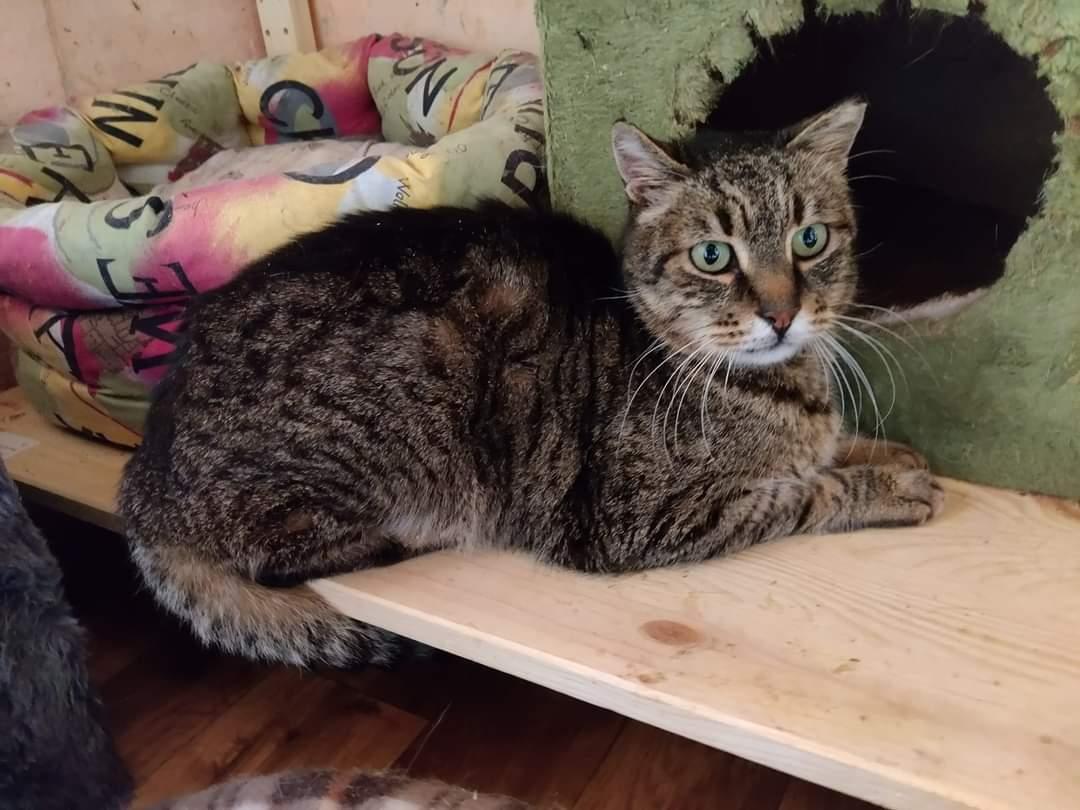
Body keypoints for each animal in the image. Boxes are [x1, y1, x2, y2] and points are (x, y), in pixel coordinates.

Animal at [119, 99, 943, 669]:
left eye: (810, 240)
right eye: (714, 255)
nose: (781, 313)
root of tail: (141, 474)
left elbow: (831, 452)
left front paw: (889, 453)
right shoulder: (638, 518)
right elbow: (801, 493)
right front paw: (890, 486)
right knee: (287, 555)